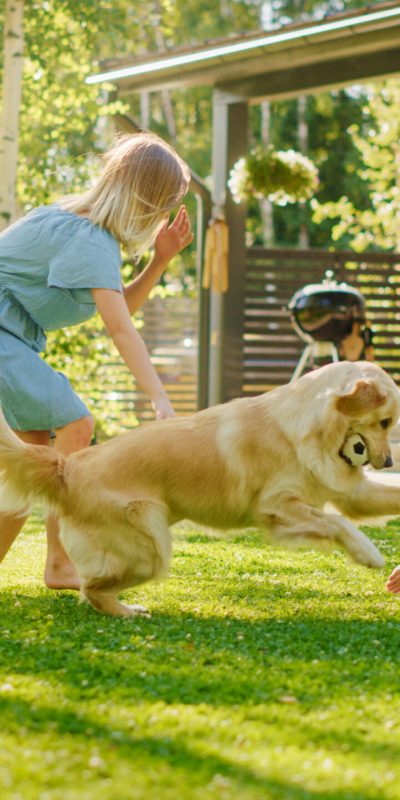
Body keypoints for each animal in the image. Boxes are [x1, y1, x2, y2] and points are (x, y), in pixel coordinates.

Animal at [0, 362, 400, 620]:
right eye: (385, 422)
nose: (387, 461)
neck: (310, 427)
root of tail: (67, 467)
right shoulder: (277, 505)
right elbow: (337, 523)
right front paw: (368, 554)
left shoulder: (349, 494)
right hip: (150, 547)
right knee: (92, 590)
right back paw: (128, 612)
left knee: (92, 588)